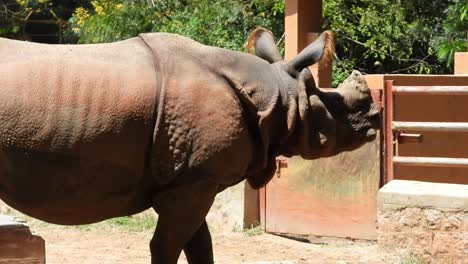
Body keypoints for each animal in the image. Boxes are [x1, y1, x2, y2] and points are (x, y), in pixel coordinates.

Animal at [0, 27, 380, 262]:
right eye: (339, 106)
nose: (377, 118)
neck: (277, 95)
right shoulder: (193, 184)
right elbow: (167, 247)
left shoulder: (194, 180)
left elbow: (200, 246)